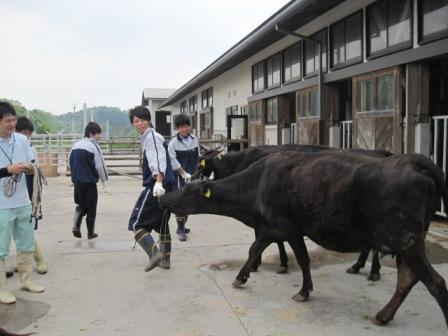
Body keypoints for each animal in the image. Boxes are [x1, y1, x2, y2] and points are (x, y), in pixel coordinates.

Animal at [194, 145, 390, 280]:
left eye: (201, 163)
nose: (193, 176)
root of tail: (380, 151)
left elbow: (268, 238)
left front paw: (261, 264)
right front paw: (276, 263)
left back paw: (373, 271)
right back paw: (358, 266)